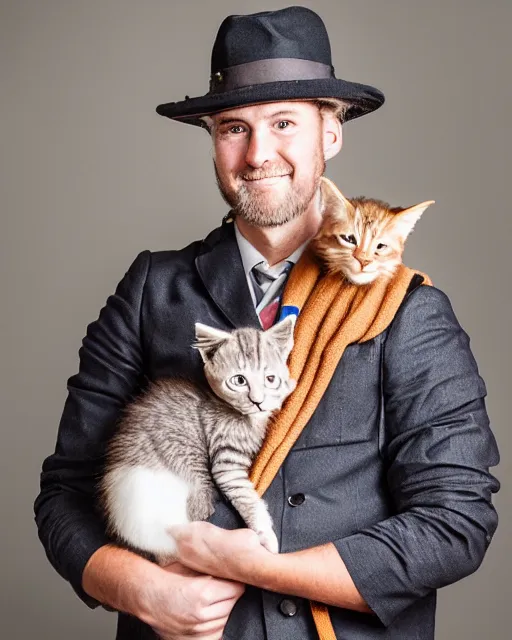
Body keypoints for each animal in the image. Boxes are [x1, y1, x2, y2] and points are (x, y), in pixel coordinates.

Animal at [99, 316, 296, 564]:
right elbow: (245, 495)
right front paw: (266, 535)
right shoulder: (225, 459)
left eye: (270, 379)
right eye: (239, 380)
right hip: (190, 473)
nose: (257, 400)